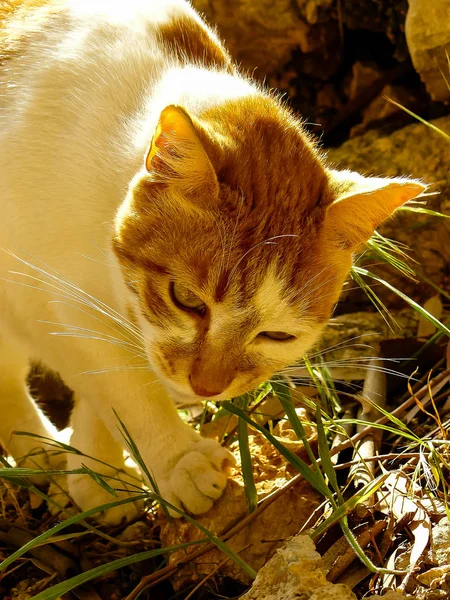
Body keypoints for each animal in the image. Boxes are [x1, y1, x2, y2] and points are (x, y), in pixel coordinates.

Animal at [0, 0, 426, 524]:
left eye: (278, 336)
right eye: (186, 299)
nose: (206, 388)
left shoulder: (66, 306)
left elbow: (99, 381)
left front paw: (97, 475)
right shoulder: (42, 295)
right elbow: (121, 380)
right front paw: (176, 459)